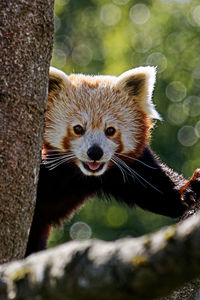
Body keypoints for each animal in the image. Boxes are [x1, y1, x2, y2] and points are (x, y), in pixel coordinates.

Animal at [25, 66, 200, 255]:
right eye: (78, 129)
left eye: (110, 130)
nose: (95, 152)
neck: (80, 175)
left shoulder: (130, 169)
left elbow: (163, 196)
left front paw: (189, 188)